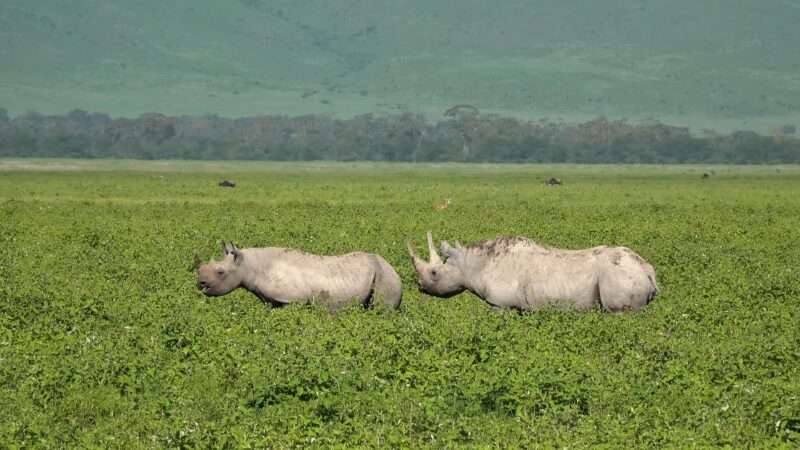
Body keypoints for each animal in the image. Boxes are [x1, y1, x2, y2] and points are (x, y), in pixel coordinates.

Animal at [195, 243, 406, 310]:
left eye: (220, 272)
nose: (200, 283)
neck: (248, 265)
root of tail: (393, 268)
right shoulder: (272, 301)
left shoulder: (291, 299)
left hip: (385, 276)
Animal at [410, 232, 660, 312]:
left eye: (434, 274)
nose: (420, 287)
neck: (471, 263)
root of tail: (647, 270)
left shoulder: (500, 304)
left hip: (621, 276)